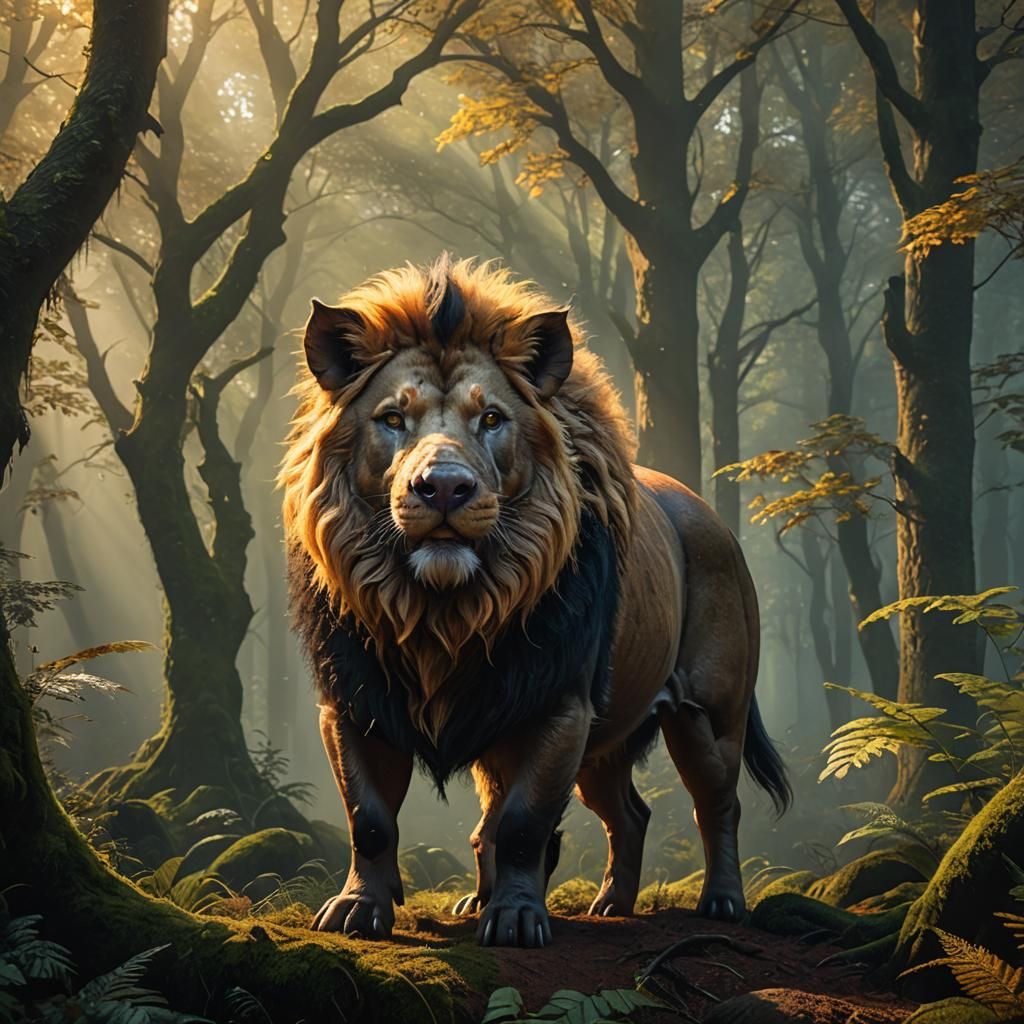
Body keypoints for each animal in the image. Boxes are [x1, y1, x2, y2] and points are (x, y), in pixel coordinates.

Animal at [281, 255, 790, 948]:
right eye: (392, 418)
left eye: (492, 419)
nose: (444, 487)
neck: (443, 610)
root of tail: (714, 520)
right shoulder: (354, 702)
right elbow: (372, 819)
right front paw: (360, 910)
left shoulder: (559, 705)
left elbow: (523, 823)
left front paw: (518, 920)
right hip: (602, 736)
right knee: (628, 813)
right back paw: (608, 905)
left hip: (708, 715)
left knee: (718, 804)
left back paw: (722, 903)